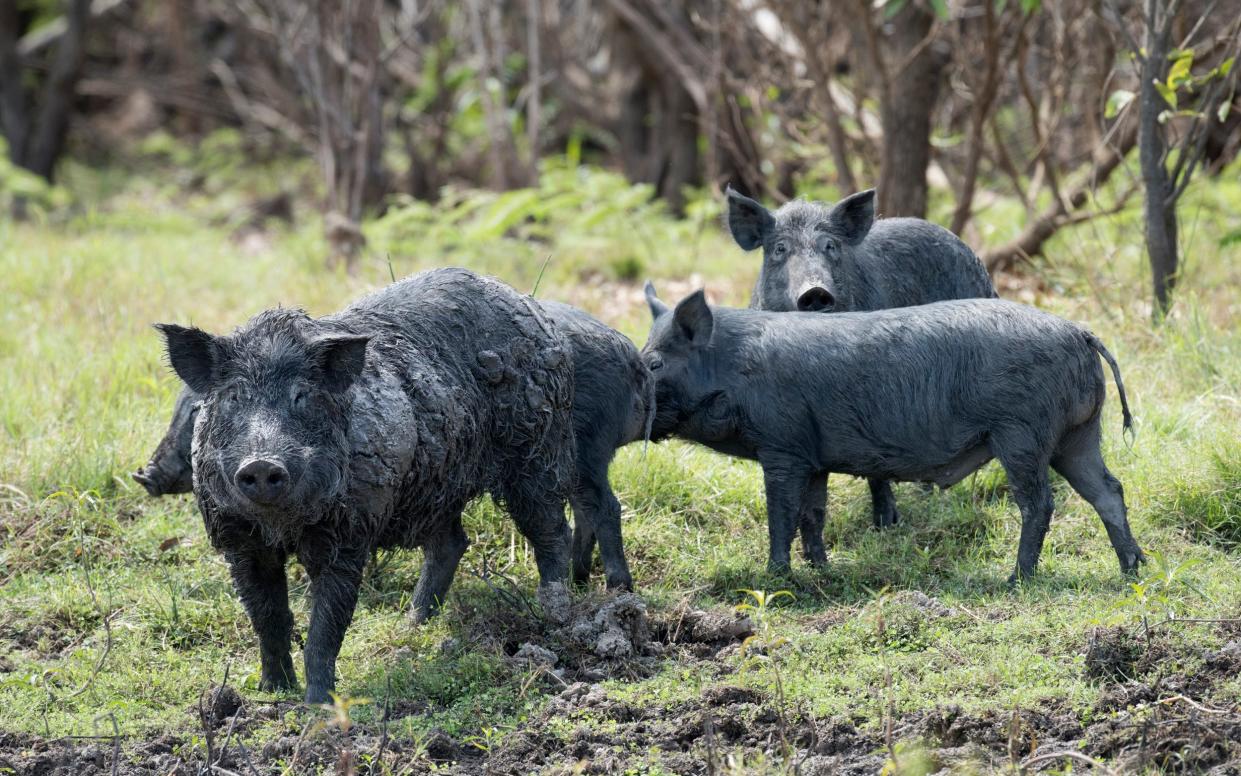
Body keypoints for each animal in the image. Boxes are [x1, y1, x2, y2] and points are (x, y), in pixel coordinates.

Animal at [137, 299, 655, 591]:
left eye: (194, 413)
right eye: (218, 405)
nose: (145, 474)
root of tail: (631, 355)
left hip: (564, 453)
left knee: (592, 510)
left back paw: (606, 591)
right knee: (456, 541)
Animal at [155, 268, 575, 700]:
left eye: (302, 396)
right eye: (234, 396)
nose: (261, 463)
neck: (282, 527)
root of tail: (527, 305)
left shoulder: (349, 534)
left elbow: (325, 629)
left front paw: (318, 705)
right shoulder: (238, 541)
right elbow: (268, 619)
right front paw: (273, 691)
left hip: (536, 448)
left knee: (551, 528)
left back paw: (557, 615)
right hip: (437, 485)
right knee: (452, 543)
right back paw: (413, 625)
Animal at [640, 284, 1141, 581]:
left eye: (655, 363)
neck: (733, 370)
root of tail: (1079, 332)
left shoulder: (782, 447)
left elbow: (780, 515)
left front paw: (775, 577)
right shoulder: (813, 457)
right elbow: (812, 515)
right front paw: (822, 571)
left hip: (1021, 434)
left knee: (1039, 502)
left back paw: (1015, 579)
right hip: (1077, 434)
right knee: (1108, 490)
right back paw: (1134, 569)